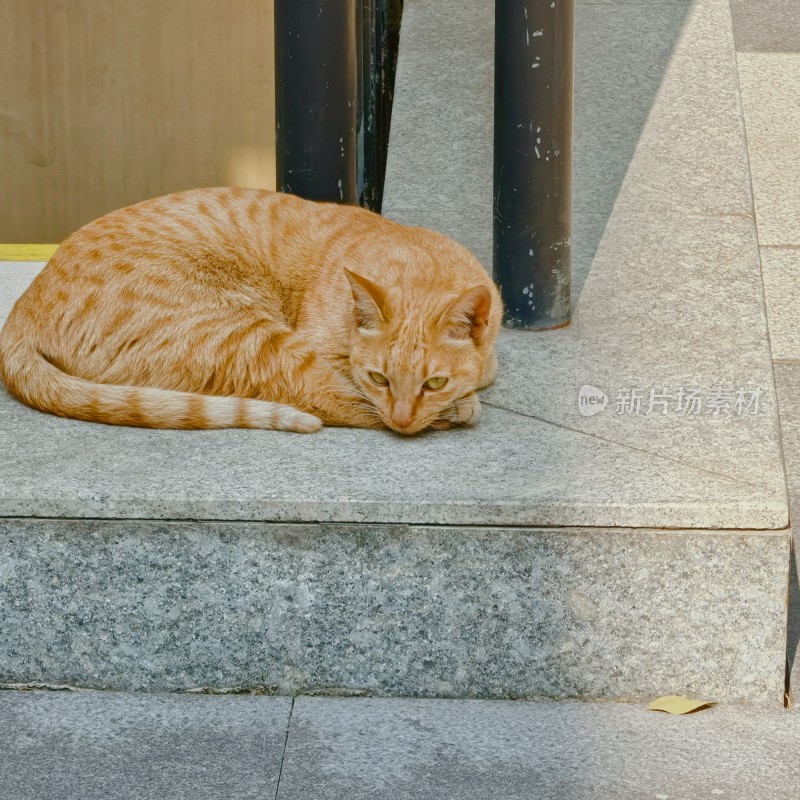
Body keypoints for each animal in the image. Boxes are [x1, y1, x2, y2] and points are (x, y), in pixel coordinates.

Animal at [0, 188, 500, 434]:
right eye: (379, 377)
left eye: (434, 382)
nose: (403, 420)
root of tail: (20, 310)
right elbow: (352, 392)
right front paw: (459, 405)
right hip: (247, 336)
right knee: (324, 400)